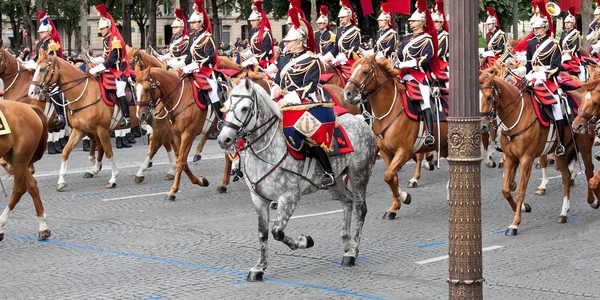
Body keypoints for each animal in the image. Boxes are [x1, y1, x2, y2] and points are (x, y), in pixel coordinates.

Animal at [0, 101, 50, 241]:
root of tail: (28, 106)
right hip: (14, 157)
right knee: (32, 185)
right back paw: (43, 227)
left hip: (20, 157)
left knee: (19, 189)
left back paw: (1, 225)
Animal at [216, 79, 376, 282]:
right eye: (226, 106)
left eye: (244, 108)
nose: (224, 139)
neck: (266, 151)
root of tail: (360, 121)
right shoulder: (258, 199)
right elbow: (263, 233)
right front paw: (259, 267)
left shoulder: (289, 198)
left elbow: (277, 232)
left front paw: (304, 241)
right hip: (335, 181)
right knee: (347, 201)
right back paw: (347, 243)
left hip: (359, 175)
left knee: (360, 208)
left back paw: (353, 251)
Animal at [342, 55, 450, 220]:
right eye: (352, 69)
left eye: (365, 72)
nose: (347, 94)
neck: (388, 112)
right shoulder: (387, 153)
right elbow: (392, 177)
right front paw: (396, 205)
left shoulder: (404, 151)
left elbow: (388, 176)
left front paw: (403, 197)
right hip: (444, 146)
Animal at [478, 70, 600, 237]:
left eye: (489, 97)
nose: (483, 125)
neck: (517, 115)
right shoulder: (510, 157)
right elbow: (506, 190)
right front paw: (523, 206)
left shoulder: (526, 159)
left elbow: (520, 191)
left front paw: (514, 224)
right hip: (560, 151)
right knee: (566, 177)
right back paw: (564, 212)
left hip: (584, 145)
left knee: (589, 171)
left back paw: (593, 201)